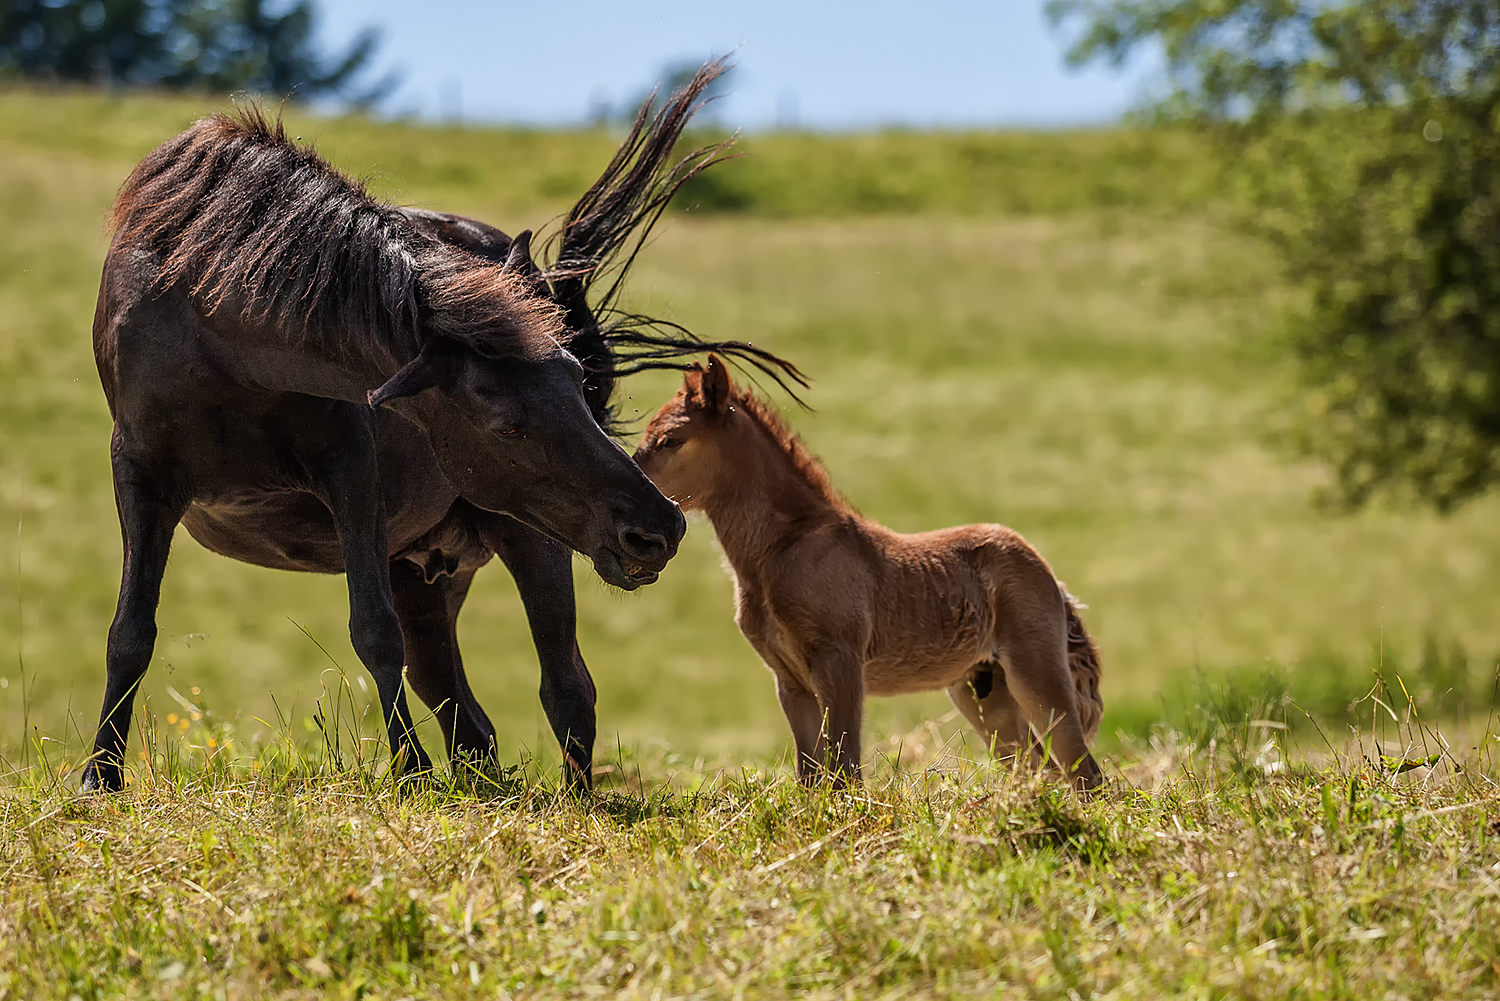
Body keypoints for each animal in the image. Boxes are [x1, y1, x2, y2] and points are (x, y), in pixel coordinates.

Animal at [86, 60, 804, 792]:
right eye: (506, 425)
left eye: (577, 384)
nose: (656, 531)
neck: (213, 320)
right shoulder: (140, 473)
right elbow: (130, 632)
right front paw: (100, 775)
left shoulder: (351, 470)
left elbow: (372, 632)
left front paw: (408, 769)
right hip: (426, 574)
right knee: (465, 713)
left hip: (526, 539)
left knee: (564, 686)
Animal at [633, 358, 1104, 792]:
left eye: (670, 440)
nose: (650, 503)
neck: (782, 550)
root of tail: (1046, 572)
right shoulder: (791, 683)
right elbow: (811, 776)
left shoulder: (840, 664)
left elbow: (845, 770)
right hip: (985, 695)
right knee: (1041, 768)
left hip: (1036, 675)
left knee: (1084, 773)